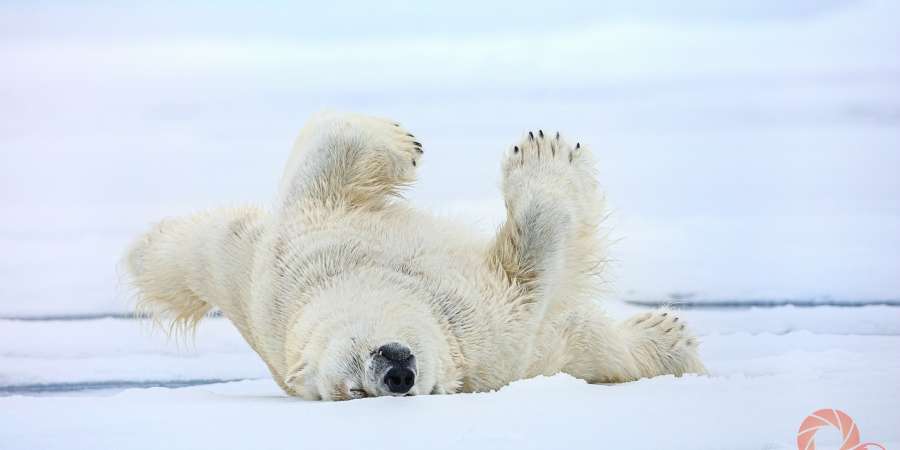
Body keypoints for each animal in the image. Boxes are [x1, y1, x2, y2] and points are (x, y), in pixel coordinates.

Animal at [125, 110, 704, 400]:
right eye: (354, 392)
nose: (395, 377)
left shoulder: (297, 255)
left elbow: (328, 156)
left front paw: (403, 141)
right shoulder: (486, 330)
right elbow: (530, 271)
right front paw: (547, 159)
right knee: (594, 346)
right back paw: (668, 336)